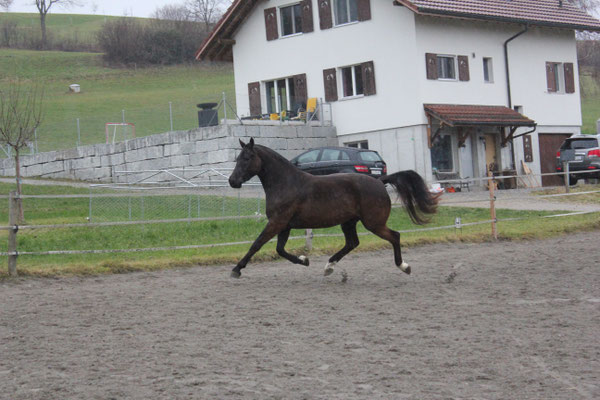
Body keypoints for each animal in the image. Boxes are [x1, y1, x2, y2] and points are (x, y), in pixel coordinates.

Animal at [227, 139, 438, 280]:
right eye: (237, 158)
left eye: (247, 158)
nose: (232, 181)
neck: (286, 183)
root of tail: (380, 181)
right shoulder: (284, 225)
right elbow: (280, 250)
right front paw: (304, 260)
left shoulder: (277, 222)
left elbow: (257, 244)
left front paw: (237, 269)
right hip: (349, 222)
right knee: (352, 243)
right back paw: (329, 267)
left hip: (373, 223)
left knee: (394, 236)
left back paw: (404, 266)